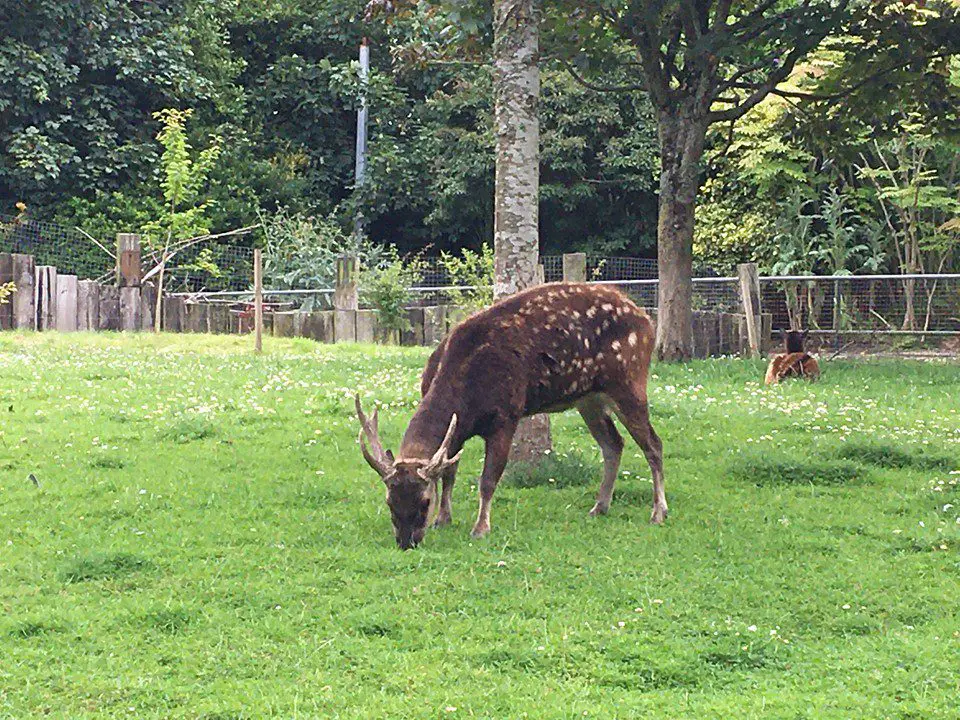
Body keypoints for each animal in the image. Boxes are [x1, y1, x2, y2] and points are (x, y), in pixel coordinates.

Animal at [356, 282, 664, 552]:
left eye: (424, 501)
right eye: (389, 501)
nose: (406, 542)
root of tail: (647, 321)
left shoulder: (506, 415)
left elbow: (488, 479)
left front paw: (481, 528)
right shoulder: (457, 431)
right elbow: (450, 473)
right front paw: (443, 520)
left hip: (629, 379)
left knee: (653, 443)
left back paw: (658, 512)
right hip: (588, 399)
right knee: (613, 443)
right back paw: (600, 507)